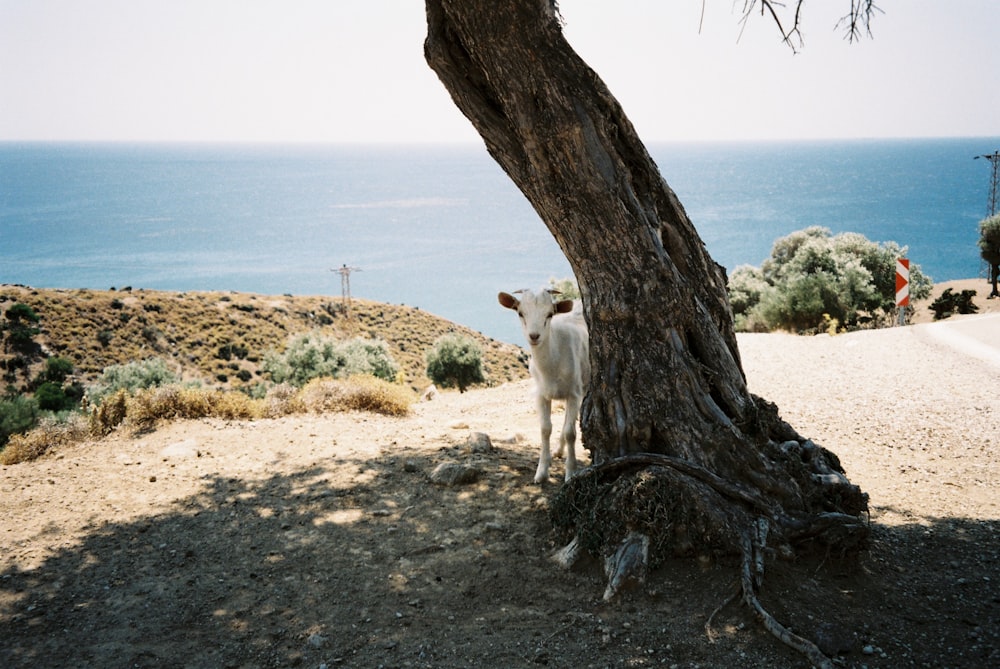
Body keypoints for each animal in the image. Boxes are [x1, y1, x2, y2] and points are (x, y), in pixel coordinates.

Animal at [498, 288, 588, 480]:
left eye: (550, 314)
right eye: (520, 313)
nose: (534, 336)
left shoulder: (574, 393)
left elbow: (571, 433)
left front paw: (570, 473)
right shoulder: (541, 394)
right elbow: (545, 429)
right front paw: (541, 473)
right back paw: (558, 450)